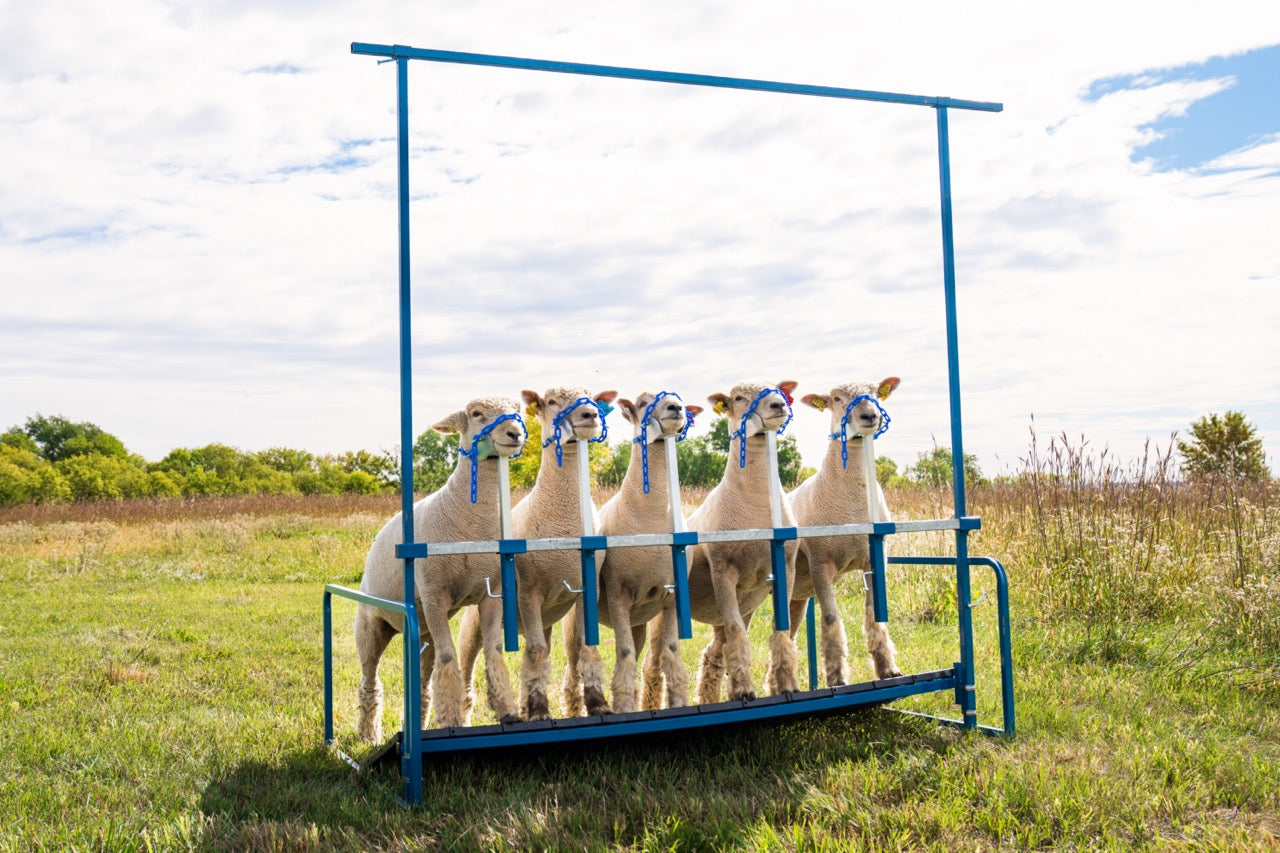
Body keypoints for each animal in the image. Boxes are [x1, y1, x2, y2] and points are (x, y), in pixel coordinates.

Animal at [354, 396, 526, 742]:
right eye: (476, 413)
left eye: (518, 410)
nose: (514, 433)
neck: (470, 522)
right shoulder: (434, 595)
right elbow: (449, 659)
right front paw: (450, 719)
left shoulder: (493, 594)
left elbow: (494, 651)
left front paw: (507, 710)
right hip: (370, 627)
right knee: (369, 680)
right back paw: (367, 735)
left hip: (422, 633)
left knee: (420, 684)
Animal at [593, 391, 702, 712]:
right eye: (643, 403)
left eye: (679, 398)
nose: (676, 408)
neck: (649, 516)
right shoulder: (617, 591)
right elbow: (624, 654)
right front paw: (623, 708)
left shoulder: (673, 595)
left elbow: (671, 653)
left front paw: (679, 702)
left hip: (641, 620)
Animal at [683, 381, 802, 704]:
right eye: (738, 398)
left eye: (777, 390)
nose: (777, 405)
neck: (756, 500)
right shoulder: (723, 571)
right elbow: (738, 632)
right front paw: (744, 689)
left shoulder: (786, 567)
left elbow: (781, 628)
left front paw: (787, 684)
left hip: (730, 610)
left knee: (713, 654)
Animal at [786, 378, 904, 685]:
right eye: (836, 399)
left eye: (875, 393)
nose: (869, 416)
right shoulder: (820, 562)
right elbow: (830, 619)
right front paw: (837, 677)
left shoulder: (876, 557)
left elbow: (874, 613)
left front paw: (888, 668)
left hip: (796, 595)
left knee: (788, 634)